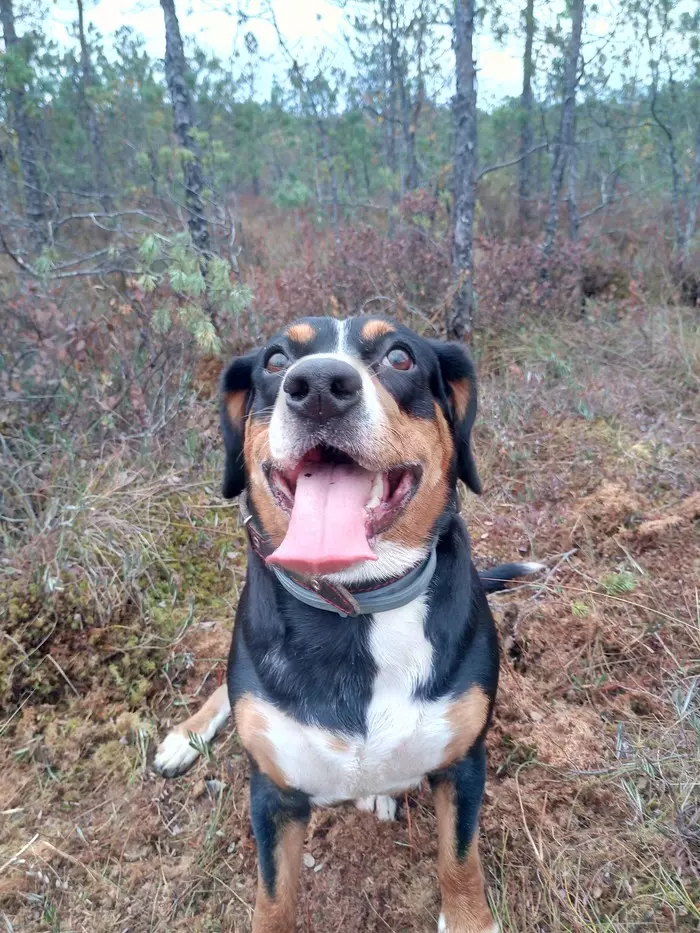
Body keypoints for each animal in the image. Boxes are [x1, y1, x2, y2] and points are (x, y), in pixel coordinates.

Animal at [154, 316, 540, 928]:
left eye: (401, 357)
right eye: (276, 360)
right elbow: (273, 897)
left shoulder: (462, 764)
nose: (317, 387)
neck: (357, 608)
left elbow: (460, 859)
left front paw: (468, 919)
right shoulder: (273, 792)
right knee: (223, 690)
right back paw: (185, 738)